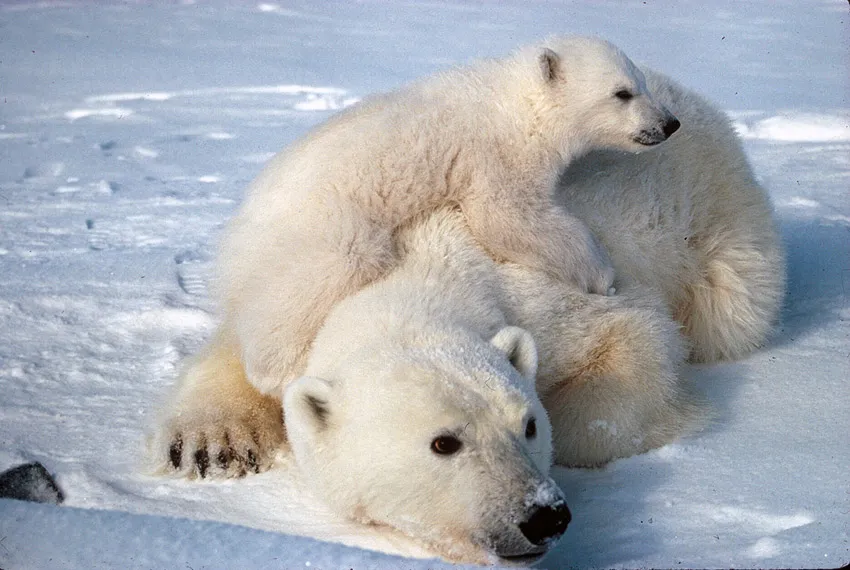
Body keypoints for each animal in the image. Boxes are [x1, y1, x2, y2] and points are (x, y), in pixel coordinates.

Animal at [216, 35, 681, 395]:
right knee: (323, 276)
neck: (517, 104)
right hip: (323, 227)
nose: (669, 124)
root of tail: (236, 237)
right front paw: (601, 274)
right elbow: (507, 217)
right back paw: (280, 370)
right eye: (622, 93)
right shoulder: (496, 154)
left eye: (642, 82)